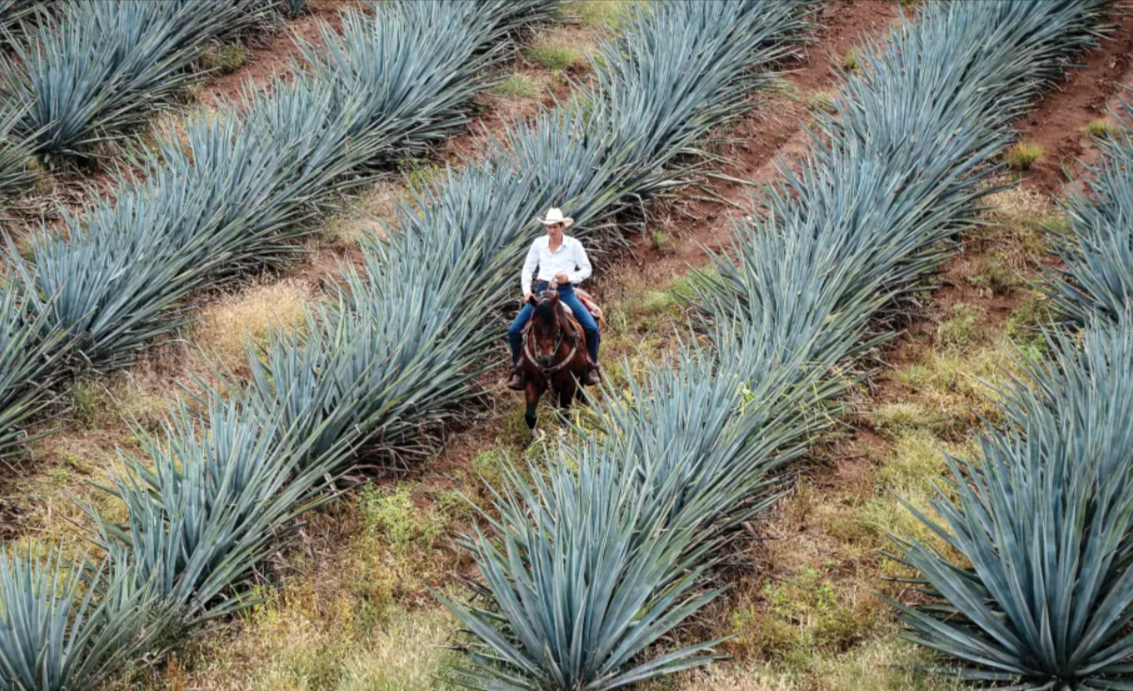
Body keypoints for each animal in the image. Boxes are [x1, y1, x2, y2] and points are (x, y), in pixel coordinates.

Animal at [518, 287, 593, 439]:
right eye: (534, 325)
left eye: (557, 325)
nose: (545, 359)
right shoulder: (532, 382)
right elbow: (530, 415)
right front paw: (538, 437)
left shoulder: (569, 384)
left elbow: (564, 415)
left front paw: (562, 439)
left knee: (581, 387)